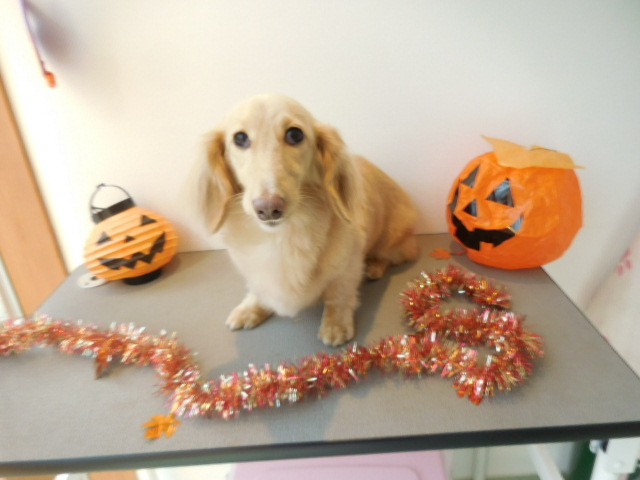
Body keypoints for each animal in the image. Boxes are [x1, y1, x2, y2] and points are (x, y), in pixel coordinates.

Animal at [198, 94, 418, 346]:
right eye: (240, 138)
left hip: (393, 239)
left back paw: (374, 266)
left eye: (295, 134)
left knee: (388, 255)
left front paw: (335, 324)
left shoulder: (348, 263)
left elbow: (339, 295)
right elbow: (258, 288)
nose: (269, 208)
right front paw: (251, 308)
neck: (281, 236)